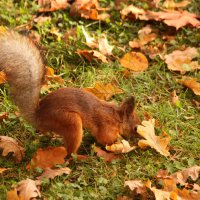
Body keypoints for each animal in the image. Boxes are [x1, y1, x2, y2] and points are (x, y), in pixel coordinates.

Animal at [0, 31, 141, 156]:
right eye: (135, 128)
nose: (137, 138)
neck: (116, 116)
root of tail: (38, 117)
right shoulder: (105, 127)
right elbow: (105, 139)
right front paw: (122, 142)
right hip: (70, 122)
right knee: (69, 154)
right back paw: (81, 157)